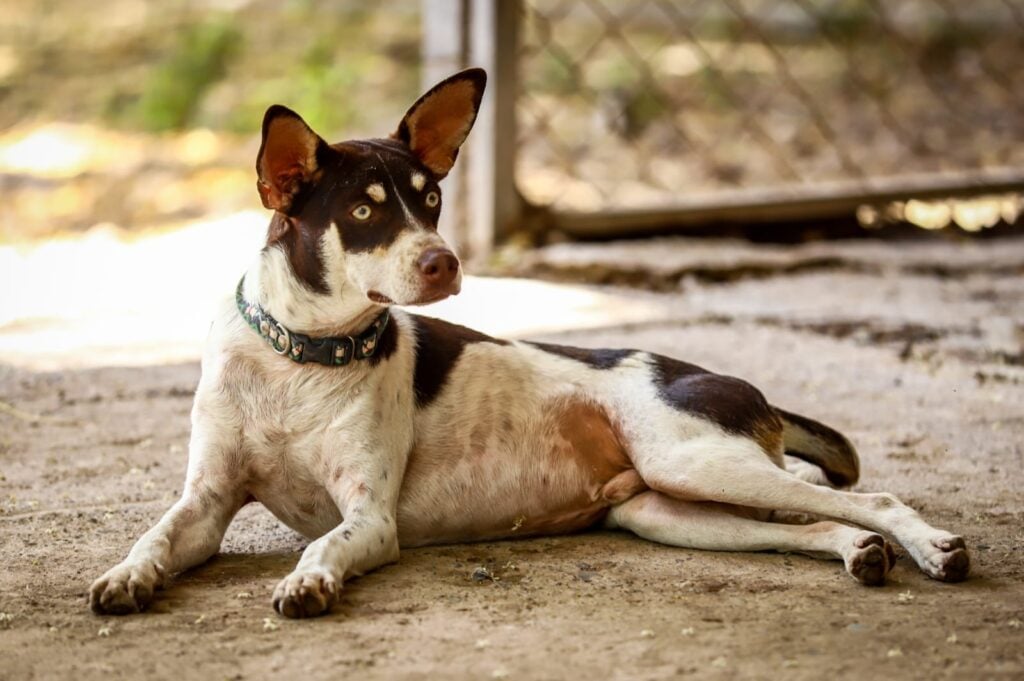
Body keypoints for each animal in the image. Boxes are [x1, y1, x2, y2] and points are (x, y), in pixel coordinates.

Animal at [86, 67, 966, 614]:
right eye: (364, 211)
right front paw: (126, 574)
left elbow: (320, 549)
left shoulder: (368, 518)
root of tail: (738, 385)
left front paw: (309, 583)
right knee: (815, 518)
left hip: (695, 462)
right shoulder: (205, 503)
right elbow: (155, 535)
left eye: (431, 199)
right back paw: (861, 553)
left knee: (872, 497)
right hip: (676, 508)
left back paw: (931, 547)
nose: (444, 261)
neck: (299, 357)